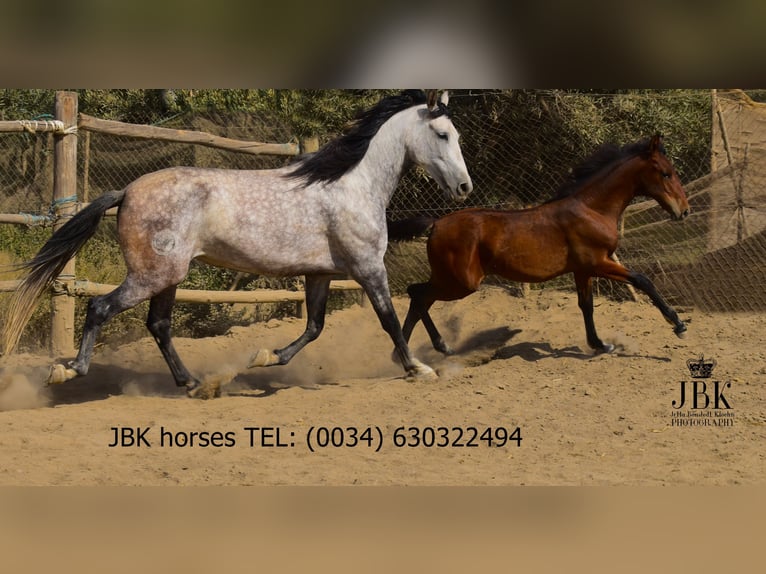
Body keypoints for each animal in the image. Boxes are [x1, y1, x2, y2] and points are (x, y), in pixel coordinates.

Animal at [2, 90, 473, 397]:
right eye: (443, 134)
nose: (464, 187)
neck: (351, 185)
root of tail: (127, 191)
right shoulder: (369, 268)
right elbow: (388, 320)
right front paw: (418, 368)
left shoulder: (320, 273)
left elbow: (314, 327)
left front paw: (264, 357)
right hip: (153, 274)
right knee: (101, 308)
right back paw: (67, 372)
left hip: (168, 276)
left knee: (159, 325)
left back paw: (193, 383)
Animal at [396, 134, 689, 357]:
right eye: (666, 174)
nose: (683, 211)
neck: (591, 209)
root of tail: (436, 223)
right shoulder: (598, 263)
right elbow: (642, 280)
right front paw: (677, 324)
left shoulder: (582, 270)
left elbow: (587, 305)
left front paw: (600, 344)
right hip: (460, 282)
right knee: (418, 294)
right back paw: (424, 351)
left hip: (451, 280)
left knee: (419, 297)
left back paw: (410, 355)